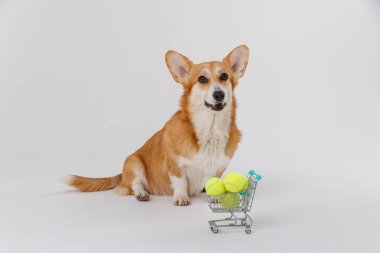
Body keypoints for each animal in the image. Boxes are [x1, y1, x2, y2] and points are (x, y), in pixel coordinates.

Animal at [68, 45, 249, 206]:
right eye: (202, 79)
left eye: (224, 76)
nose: (219, 94)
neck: (211, 128)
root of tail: (121, 175)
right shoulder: (174, 164)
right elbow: (180, 181)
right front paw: (181, 197)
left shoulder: (218, 169)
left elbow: (213, 182)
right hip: (133, 162)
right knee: (135, 184)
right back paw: (141, 193)